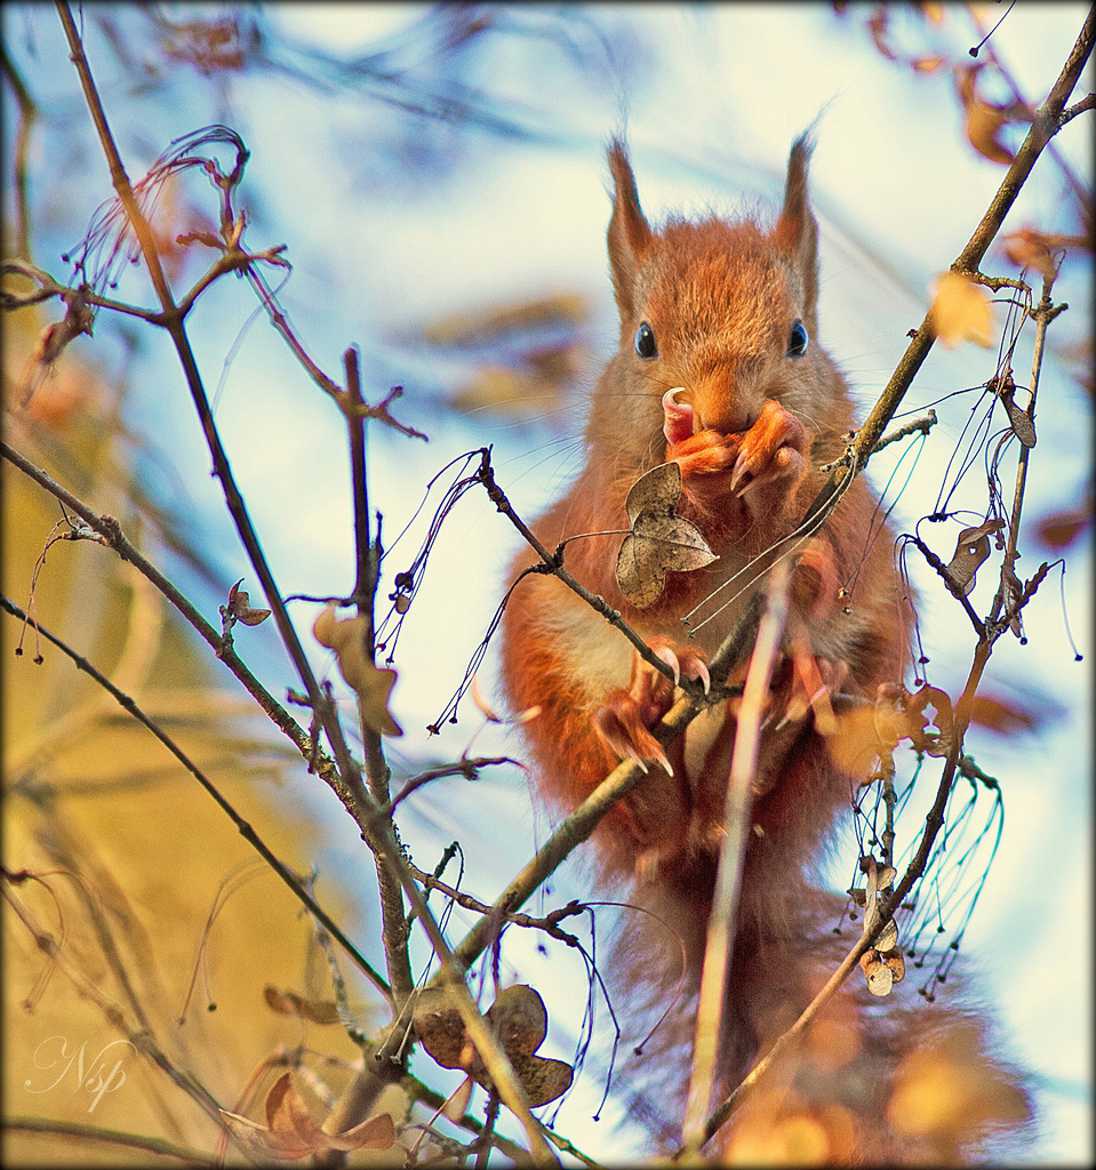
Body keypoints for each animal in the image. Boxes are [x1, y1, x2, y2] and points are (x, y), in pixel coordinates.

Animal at [495, 136, 1024, 1160]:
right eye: (644, 342)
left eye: (798, 338)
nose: (726, 411)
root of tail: (717, 875)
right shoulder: (600, 519)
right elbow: (634, 573)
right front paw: (692, 465)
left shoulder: (852, 506)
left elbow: (824, 555)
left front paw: (775, 464)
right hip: (540, 650)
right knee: (649, 831)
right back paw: (639, 731)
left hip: (870, 676)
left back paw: (779, 697)